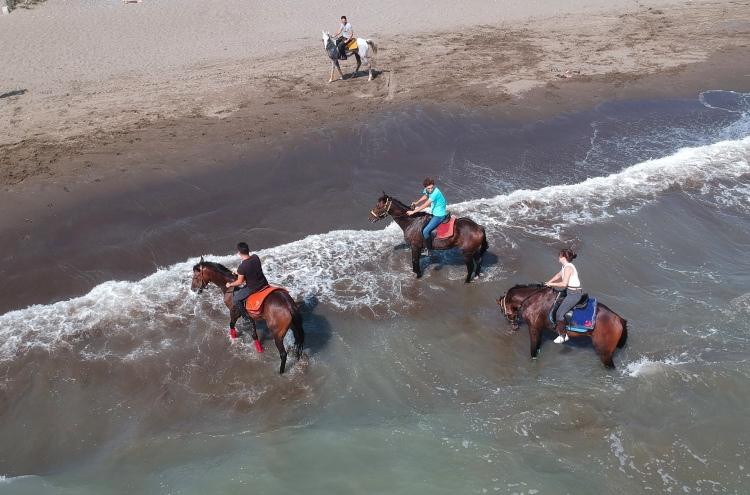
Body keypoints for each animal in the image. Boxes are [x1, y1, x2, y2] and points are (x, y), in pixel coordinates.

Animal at [500, 284, 628, 370]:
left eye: (503, 311)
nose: (514, 326)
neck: (533, 299)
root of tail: (618, 319)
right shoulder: (539, 329)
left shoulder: (534, 328)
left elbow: (533, 351)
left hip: (605, 352)